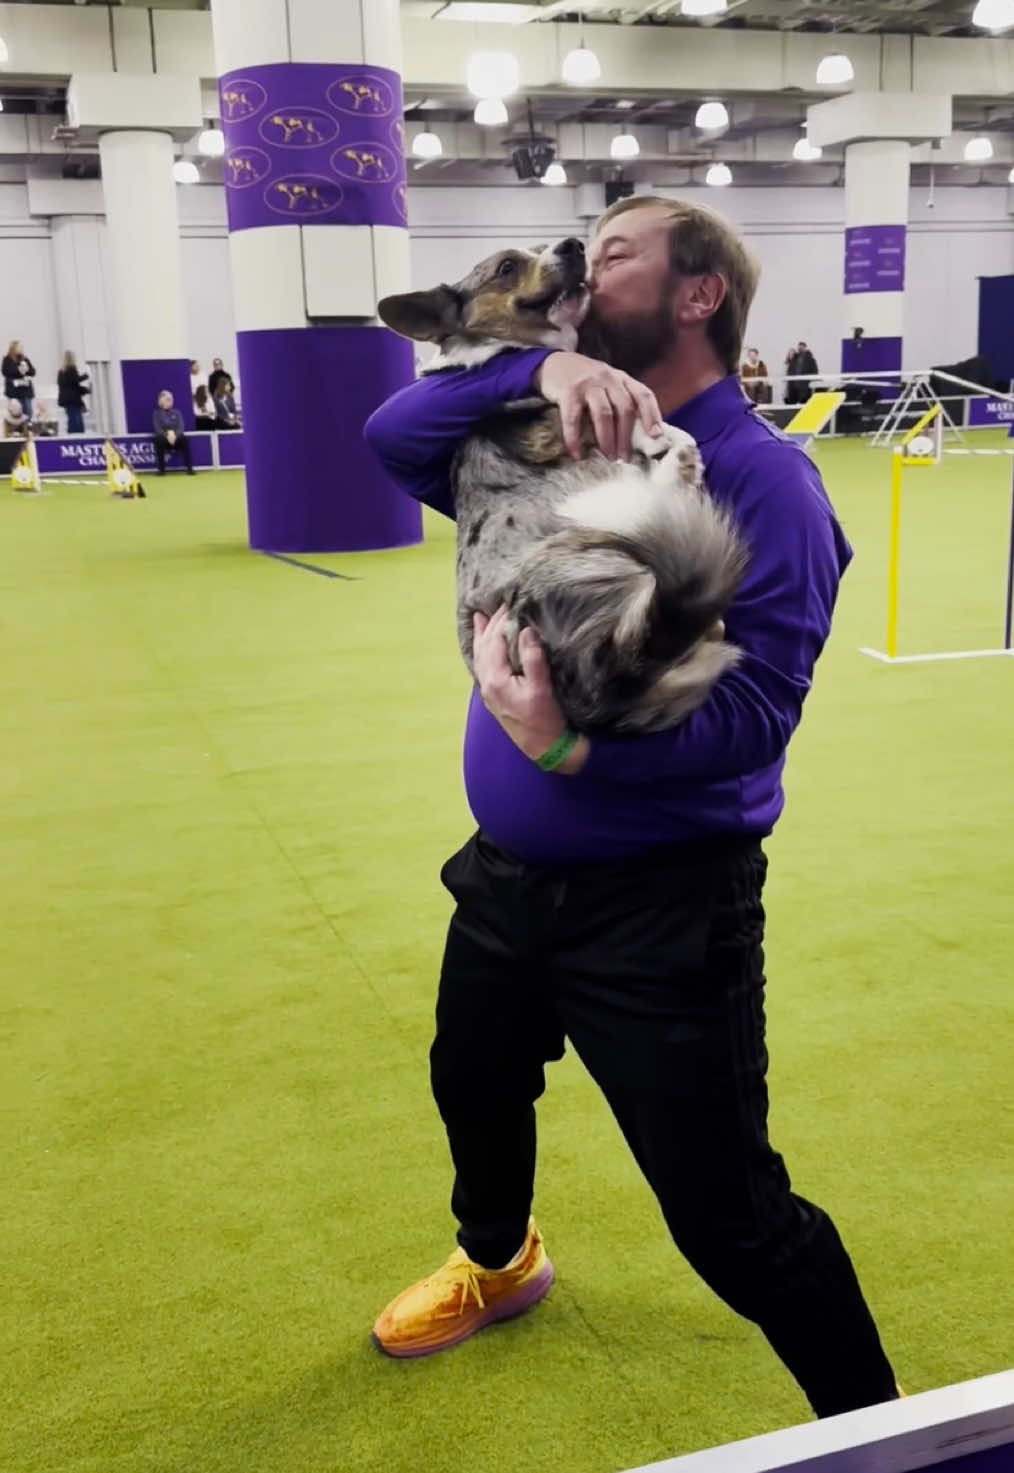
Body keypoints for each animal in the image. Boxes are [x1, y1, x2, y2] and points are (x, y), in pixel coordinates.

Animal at [375, 237, 748, 736]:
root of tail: (602, 682)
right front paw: (660, 434)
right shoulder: (552, 422)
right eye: (507, 267)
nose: (574, 245)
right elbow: (641, 415)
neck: (500, 350)